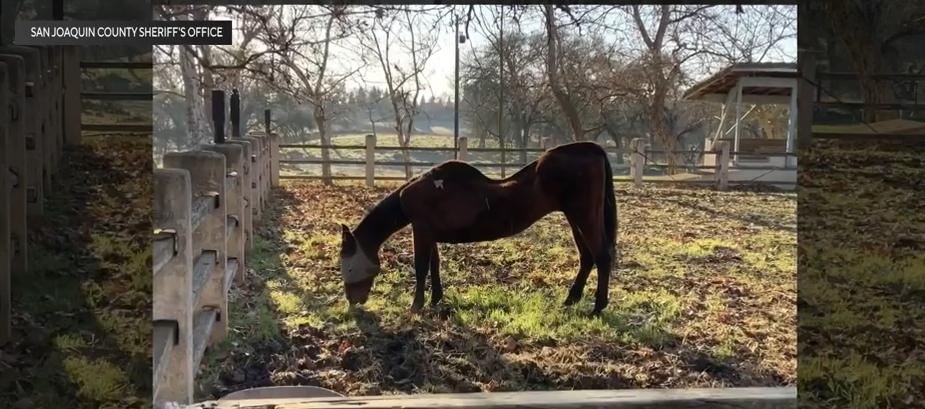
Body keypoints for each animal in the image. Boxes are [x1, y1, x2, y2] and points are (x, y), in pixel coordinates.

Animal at [338, 141, 617, 316]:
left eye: (349, 267)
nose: (353, 301)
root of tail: (591, 149)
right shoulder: (429, 234)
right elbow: (434, 266)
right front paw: (436, 300)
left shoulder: (421, 232)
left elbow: (421, 268)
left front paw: (416, 306)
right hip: (575, 218)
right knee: (587, 257)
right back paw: (571, 300)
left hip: (583, 216)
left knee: (601, 257)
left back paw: (597, 308)